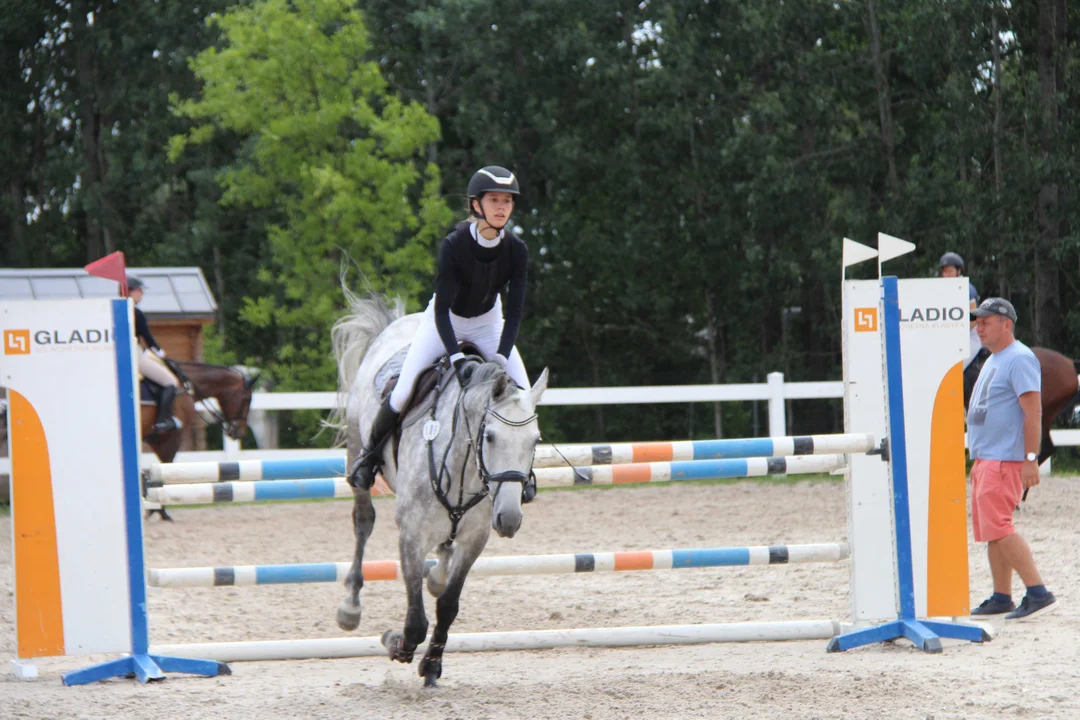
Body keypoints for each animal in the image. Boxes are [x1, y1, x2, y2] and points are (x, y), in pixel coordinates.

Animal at [141, 362, 259, 520]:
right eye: (247, 399)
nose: (239, 433)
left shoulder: (155, 440)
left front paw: (154, 509)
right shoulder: (171, 439)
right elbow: (162, 470)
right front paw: (160, 511)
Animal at [328, 293, 548, 686]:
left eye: (535, 440)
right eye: (490, 437)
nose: (509, 519)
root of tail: (397, 322)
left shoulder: (475, 538)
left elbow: (447, 604)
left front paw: (431, 664)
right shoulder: (411, 535)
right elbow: (416, 619)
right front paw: (396, 644)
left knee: (443, 552)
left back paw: (436, 575)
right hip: (356, 446)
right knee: (363, 520)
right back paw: (350, 607)